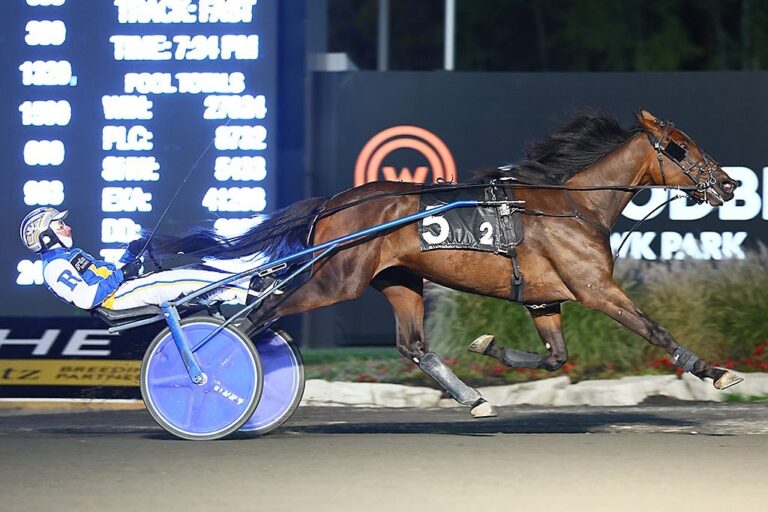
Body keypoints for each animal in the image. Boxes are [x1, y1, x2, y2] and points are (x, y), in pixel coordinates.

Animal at [148, 109, 742, 418]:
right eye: (680, 146)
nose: (730, 183)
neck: (572, 203)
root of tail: (333, 204)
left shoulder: (546, 298)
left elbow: (555, 356)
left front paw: (489, 347)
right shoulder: (594, 288)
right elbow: (654, 330)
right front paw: (714, 371)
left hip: (399, 280)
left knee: (413, 346)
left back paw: (472, 398)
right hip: (334, 278)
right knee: (256, 314)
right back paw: (203, 376)